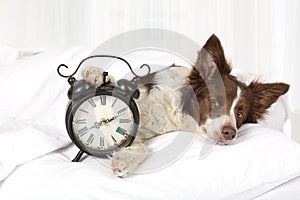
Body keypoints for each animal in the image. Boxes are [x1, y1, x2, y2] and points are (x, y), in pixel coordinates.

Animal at [81, 34, 288, 177]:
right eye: (216, 101)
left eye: (240, 114)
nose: (230, 133)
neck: (173, 108)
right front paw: (98, 75)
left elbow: (140, 146)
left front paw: (124, 159)